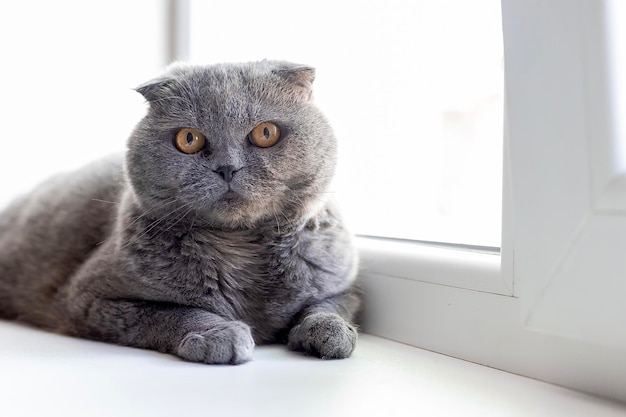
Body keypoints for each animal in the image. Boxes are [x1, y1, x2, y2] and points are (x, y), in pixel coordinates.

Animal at [0, 60, 358, 362]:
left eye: (265, 133)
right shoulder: (89, 300)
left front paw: (331, 333)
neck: (243, 247)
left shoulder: (341, 284)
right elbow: (169, 312)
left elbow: (329, 305)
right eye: (189, 139)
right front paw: (219, 335)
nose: (227, 168)